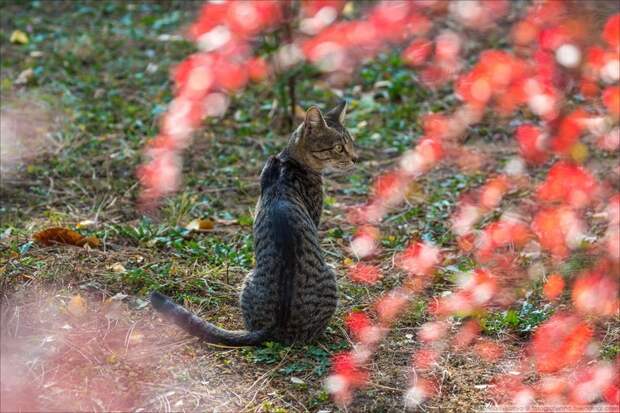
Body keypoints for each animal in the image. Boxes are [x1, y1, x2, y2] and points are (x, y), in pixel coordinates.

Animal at [150, 100, 358, 344]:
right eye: (339, 148)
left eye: (351, 142)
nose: (356, 158)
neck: (288, 162)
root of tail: (273, 327)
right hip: (330, 275)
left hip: (249, 280)